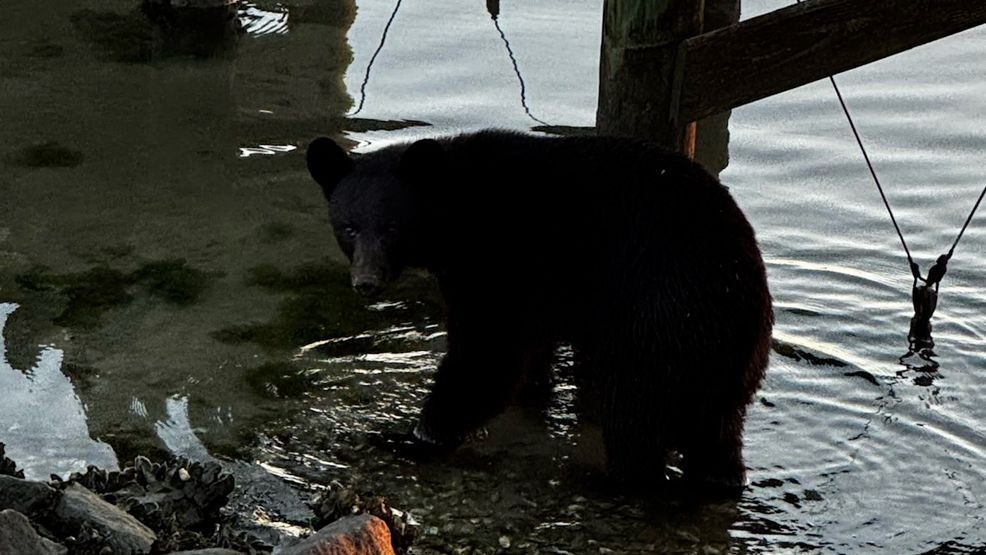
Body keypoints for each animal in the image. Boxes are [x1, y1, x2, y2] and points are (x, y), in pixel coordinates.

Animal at [305, 130, 773, 490]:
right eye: (349, 227)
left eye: (391, 228)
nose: (366, 281)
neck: (457, 212)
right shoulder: (536, 288)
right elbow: (529, 349)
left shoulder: (500, 257)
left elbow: (487, 353)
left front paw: (411, 436)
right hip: (723, 363)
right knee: (717, 434)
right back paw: (720, 478)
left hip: (659, 319)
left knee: (634, 411)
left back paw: (606, 480)